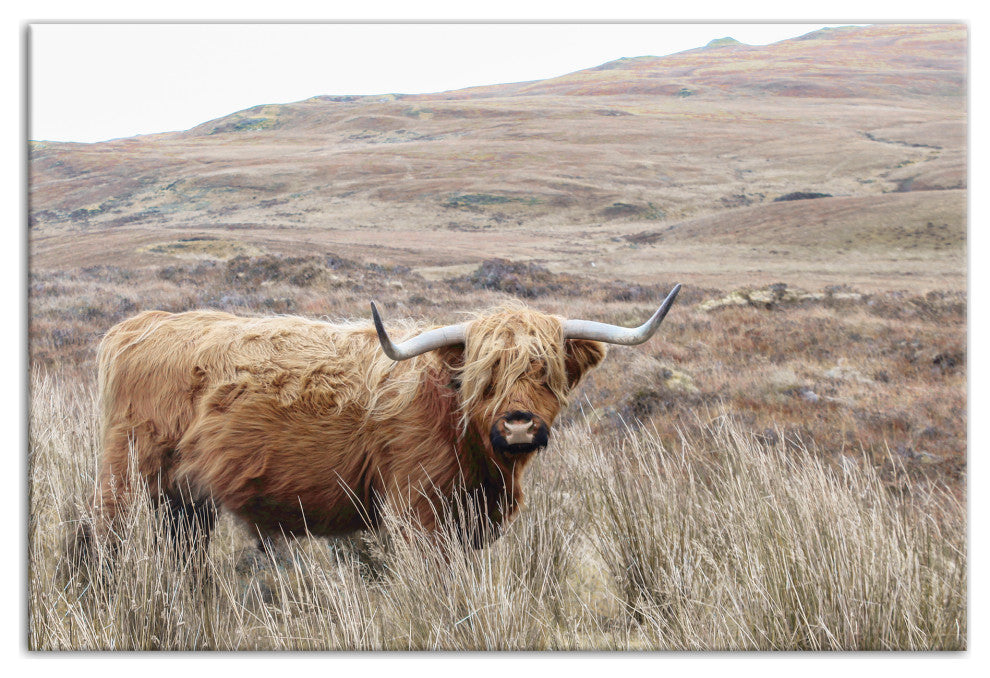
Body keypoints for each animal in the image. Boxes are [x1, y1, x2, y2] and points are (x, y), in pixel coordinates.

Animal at [85, 285, 680, 558]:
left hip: (184, 500)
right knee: (101, 540)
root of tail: (139, 325)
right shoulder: (418, 513)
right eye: (484, 374)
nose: (517, 426)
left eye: (546, 372)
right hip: (125, 477)